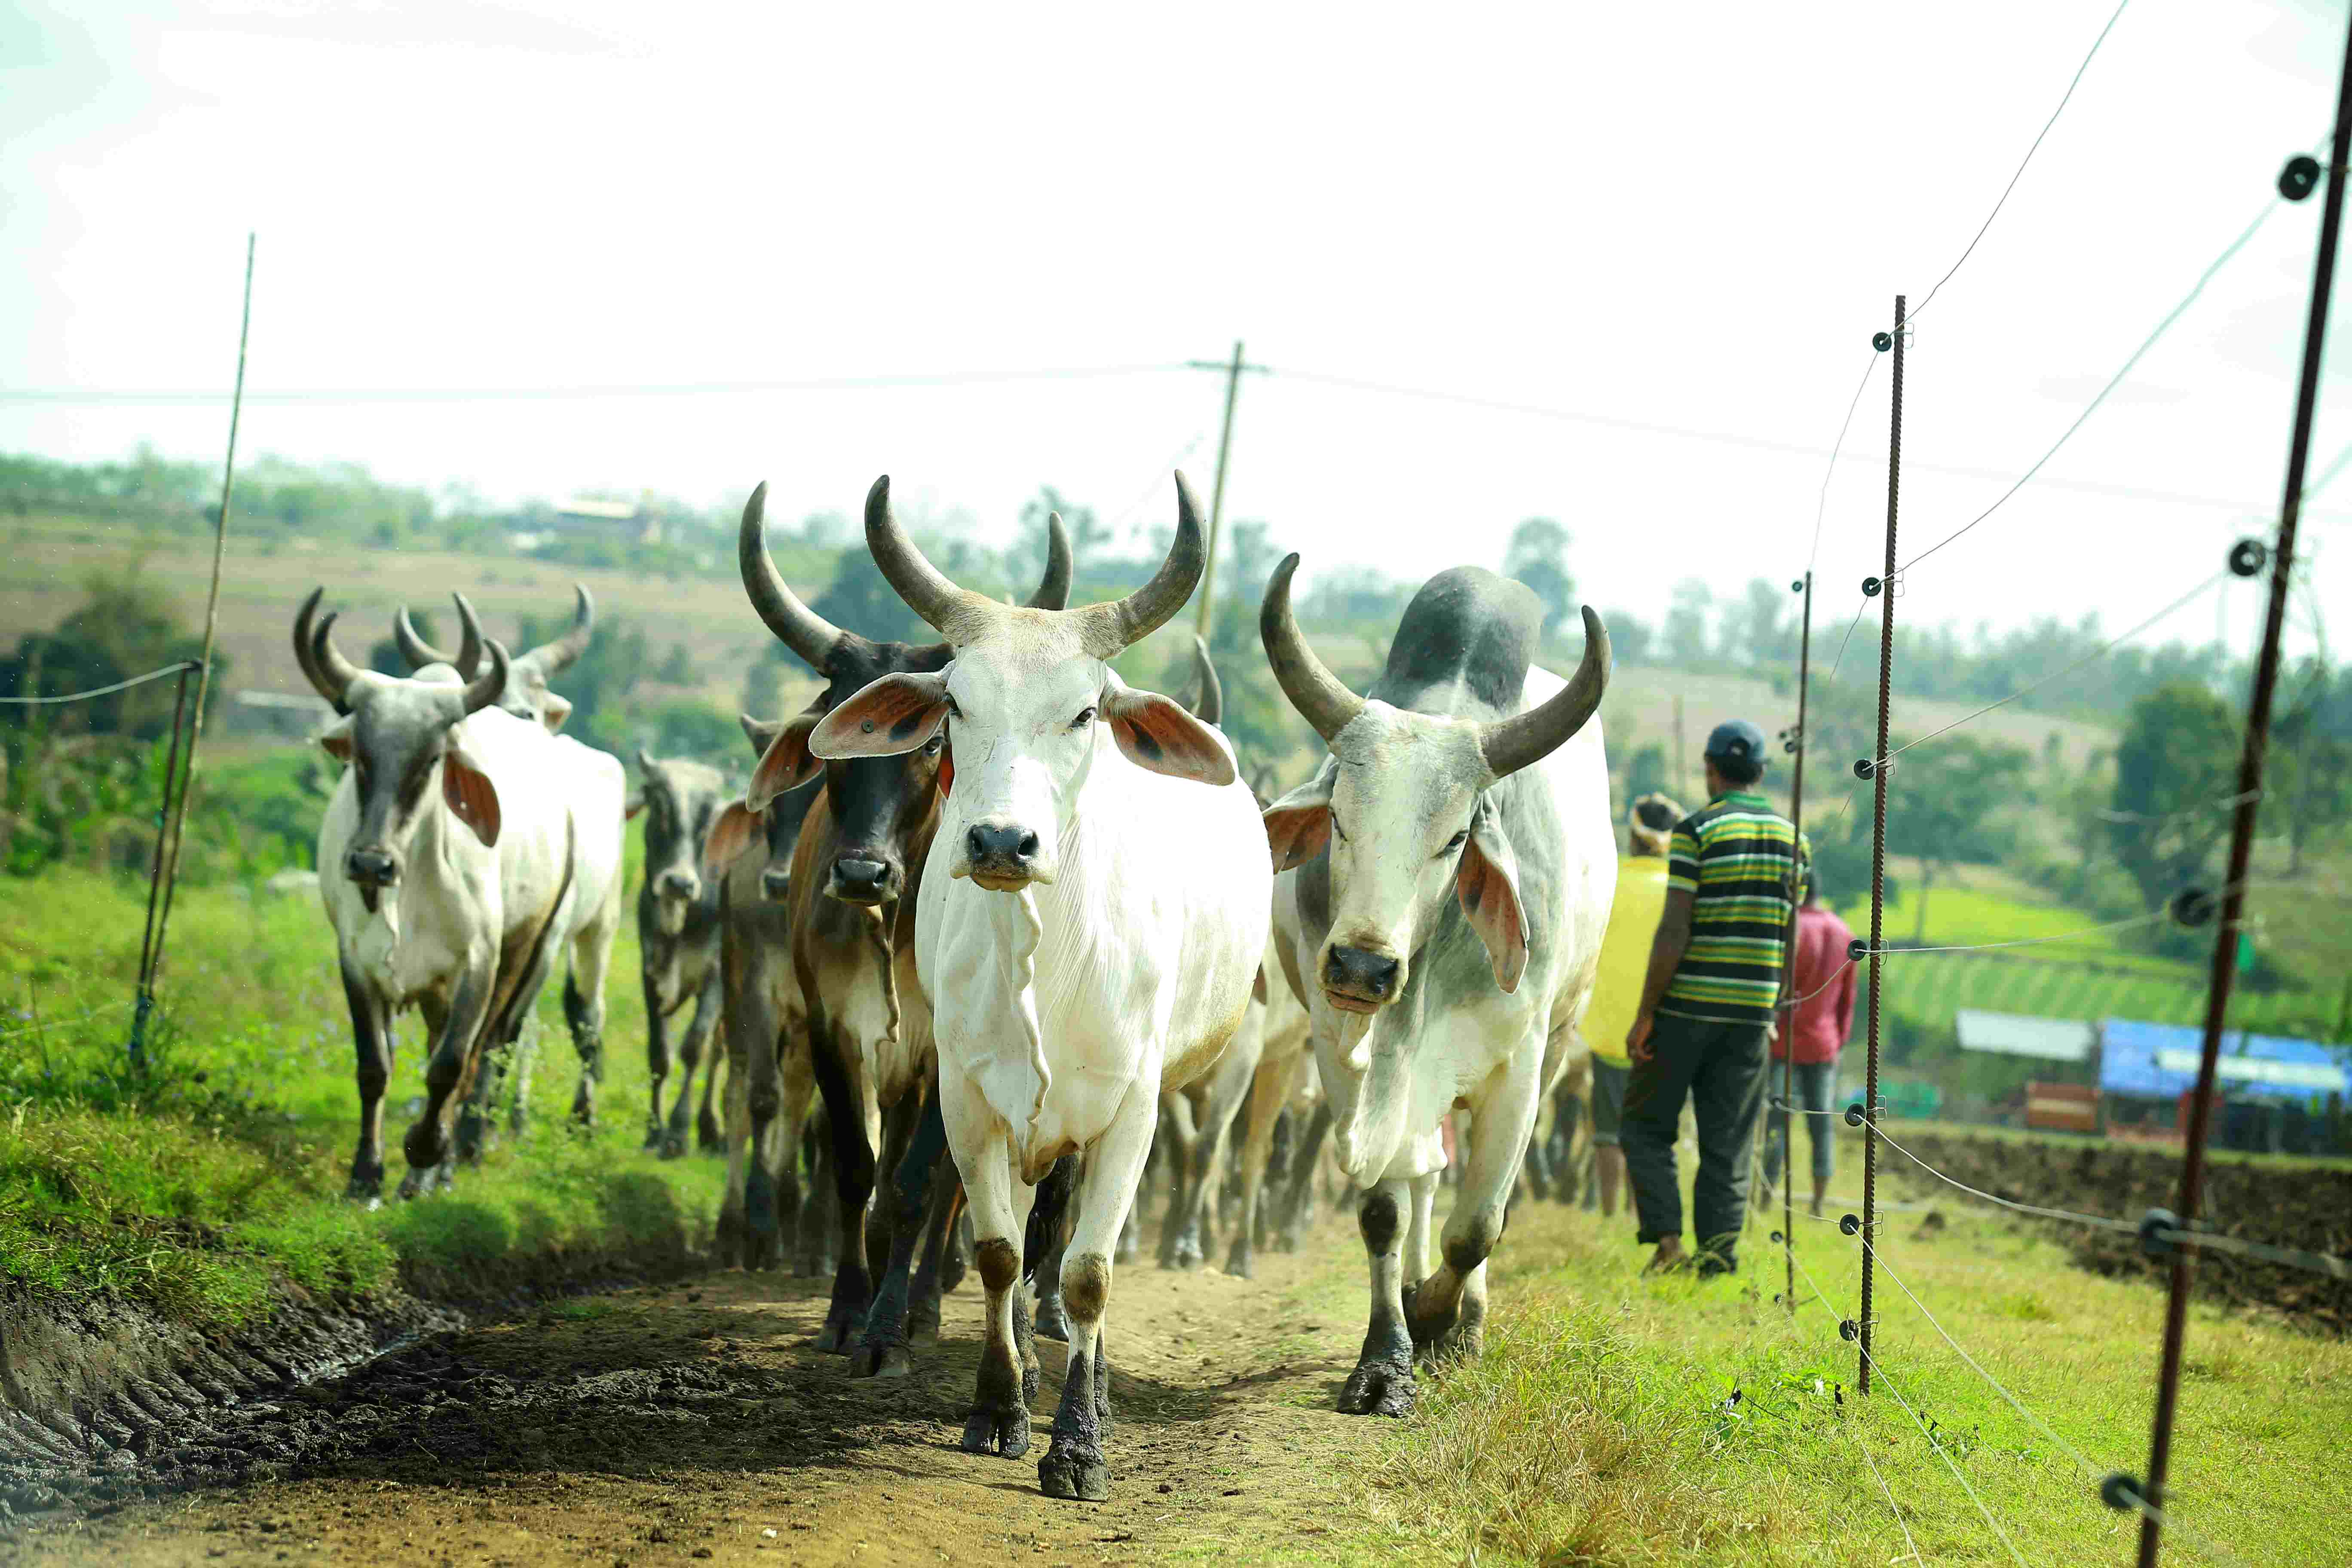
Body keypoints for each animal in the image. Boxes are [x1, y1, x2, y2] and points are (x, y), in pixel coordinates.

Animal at [294, 592, 623, 1200]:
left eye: (431, 760)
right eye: (361, 758)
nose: (371, 864)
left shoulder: (480, 962)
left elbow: (452, 1064)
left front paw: (427, 1154)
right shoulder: (356, 960)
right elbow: (374, 1066)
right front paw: (366, 1174)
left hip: (554, 942)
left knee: (509, 1043)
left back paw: (462, 1150)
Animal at [808, 472, 1269, 1501]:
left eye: (1084, 713)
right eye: (954, 706)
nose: (1000, 843)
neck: (1043, 955)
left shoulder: (1133, 1109)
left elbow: (1089, 1272)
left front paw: (1078, 1445)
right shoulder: (965, 1095)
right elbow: (993, 1251)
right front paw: (997, 1411)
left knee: (1076, 1253)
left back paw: (1089, 1393)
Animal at [1257, 561, 1612, 1418]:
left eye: (1455, 838)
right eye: (1339, 818)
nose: (1362, 967)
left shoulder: (1519, 1067)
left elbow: (1478, 1225)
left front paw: (1443, 1321)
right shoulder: (1339, 1050)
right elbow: (1385, 1210)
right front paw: (1388, 1356)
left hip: (1557, 1042)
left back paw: (1461, 1314)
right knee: (1423, 1175)